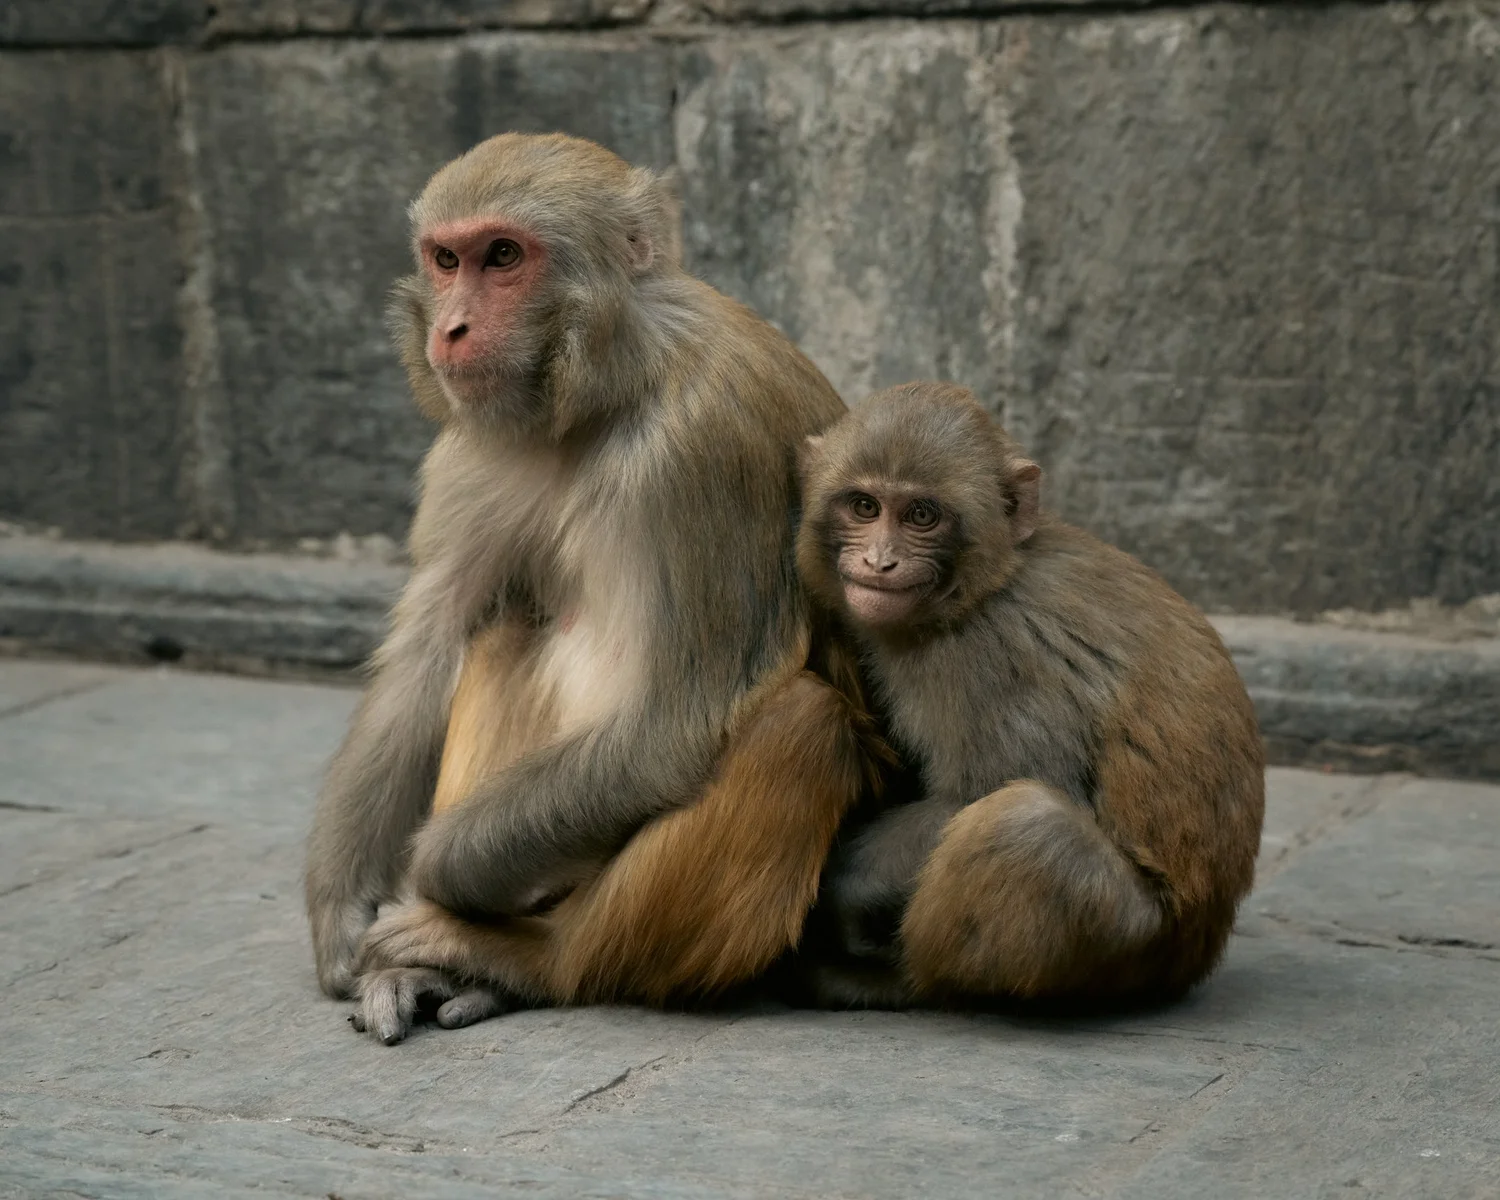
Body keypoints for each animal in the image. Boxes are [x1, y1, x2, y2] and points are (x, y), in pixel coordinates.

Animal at [302, 133, 878, 1043]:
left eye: (504, 257)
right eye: (446, 259)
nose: (453, 329)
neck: (608, 385)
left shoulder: (695, 455)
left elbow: (672, 724)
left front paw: (429, 872)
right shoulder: (476, 450)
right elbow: (424, 659)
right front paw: (343, 909)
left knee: (802, 725)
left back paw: (521, 957)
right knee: (503, 621)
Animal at [790, 381, 1265, 1008]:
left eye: (922, 515)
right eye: (865, 507)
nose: (879, 561)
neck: (980, 589)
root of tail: (1205, 938)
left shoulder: (993, 659)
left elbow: (980, 794)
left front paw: (840, 886)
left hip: (1139, 949)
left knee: (1026, 829)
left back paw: (904, 984)